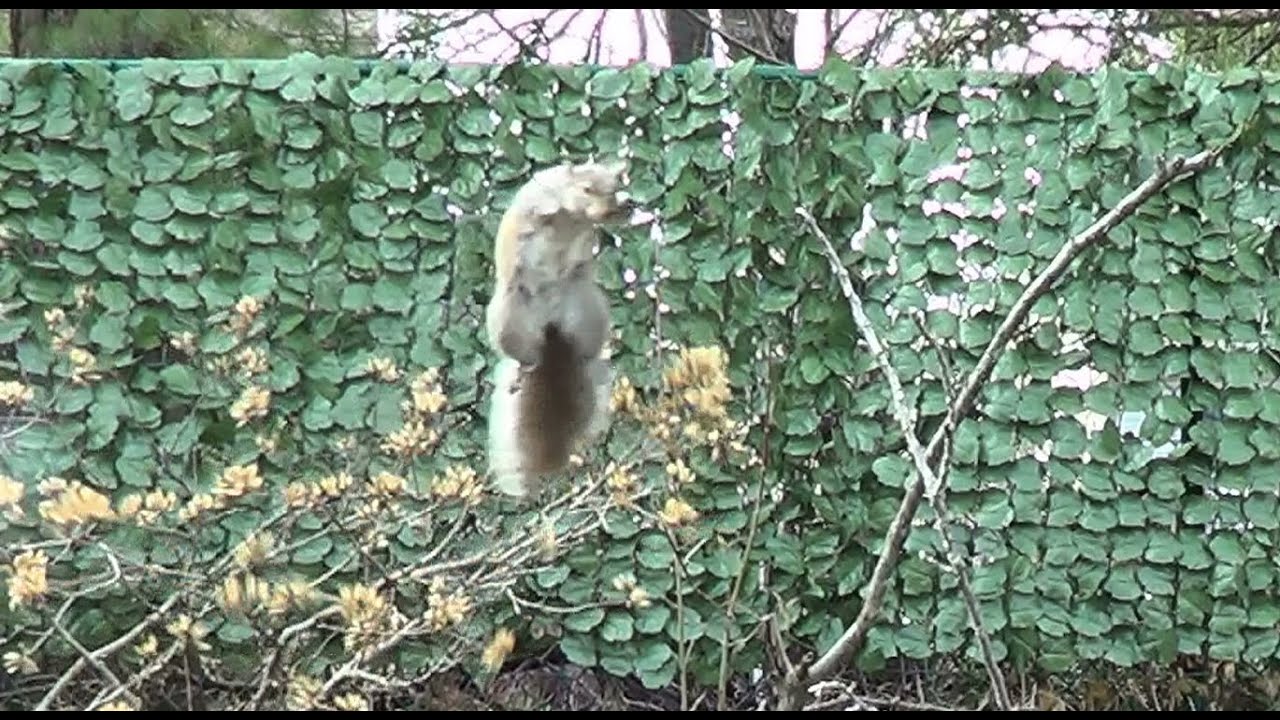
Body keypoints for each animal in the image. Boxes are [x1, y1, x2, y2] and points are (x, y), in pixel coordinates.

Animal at [484, 159, 634, 499]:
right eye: (587, 188)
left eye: (617, 184)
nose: (617, 204)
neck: (574, 218)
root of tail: (551, 330)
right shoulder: (539, 196)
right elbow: (539, 207)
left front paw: (626, 208)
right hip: (507, 318)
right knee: (525, 356)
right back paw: (526, 366)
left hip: (589, 308)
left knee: (584, 351)